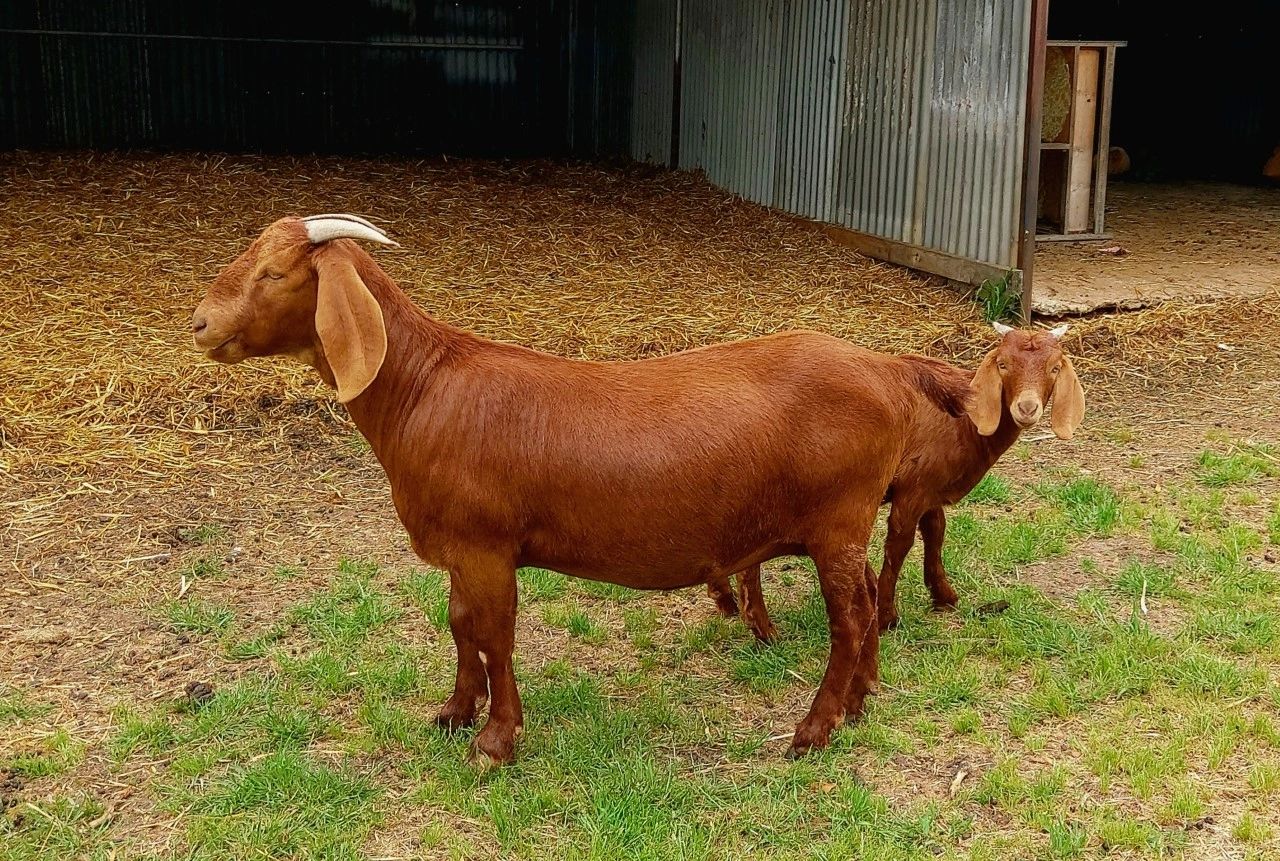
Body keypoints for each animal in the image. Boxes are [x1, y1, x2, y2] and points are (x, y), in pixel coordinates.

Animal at [190, 215, 974, 764]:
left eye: (273, 272)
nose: (199, 323)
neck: (426, 388)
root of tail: (885, 367)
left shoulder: (486, 545)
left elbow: (495, 633)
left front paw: (495, 741)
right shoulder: (461, 549)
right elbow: (459, 625)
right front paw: (453, 714)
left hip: (837, 516)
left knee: (851, 616)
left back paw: (814, 730)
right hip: (844, 521)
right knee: (866, 599)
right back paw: (862, 700)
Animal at [708, 323, 1085, 639]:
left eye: (1054, 367)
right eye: (1003, 365)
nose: (1026, 408)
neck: (961, 419)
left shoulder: (931, 487)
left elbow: (936, 532)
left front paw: (942, 594)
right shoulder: (913, 487)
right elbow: (899, 544)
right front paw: (886, 616)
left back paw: (734, 607)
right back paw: (761, 627)